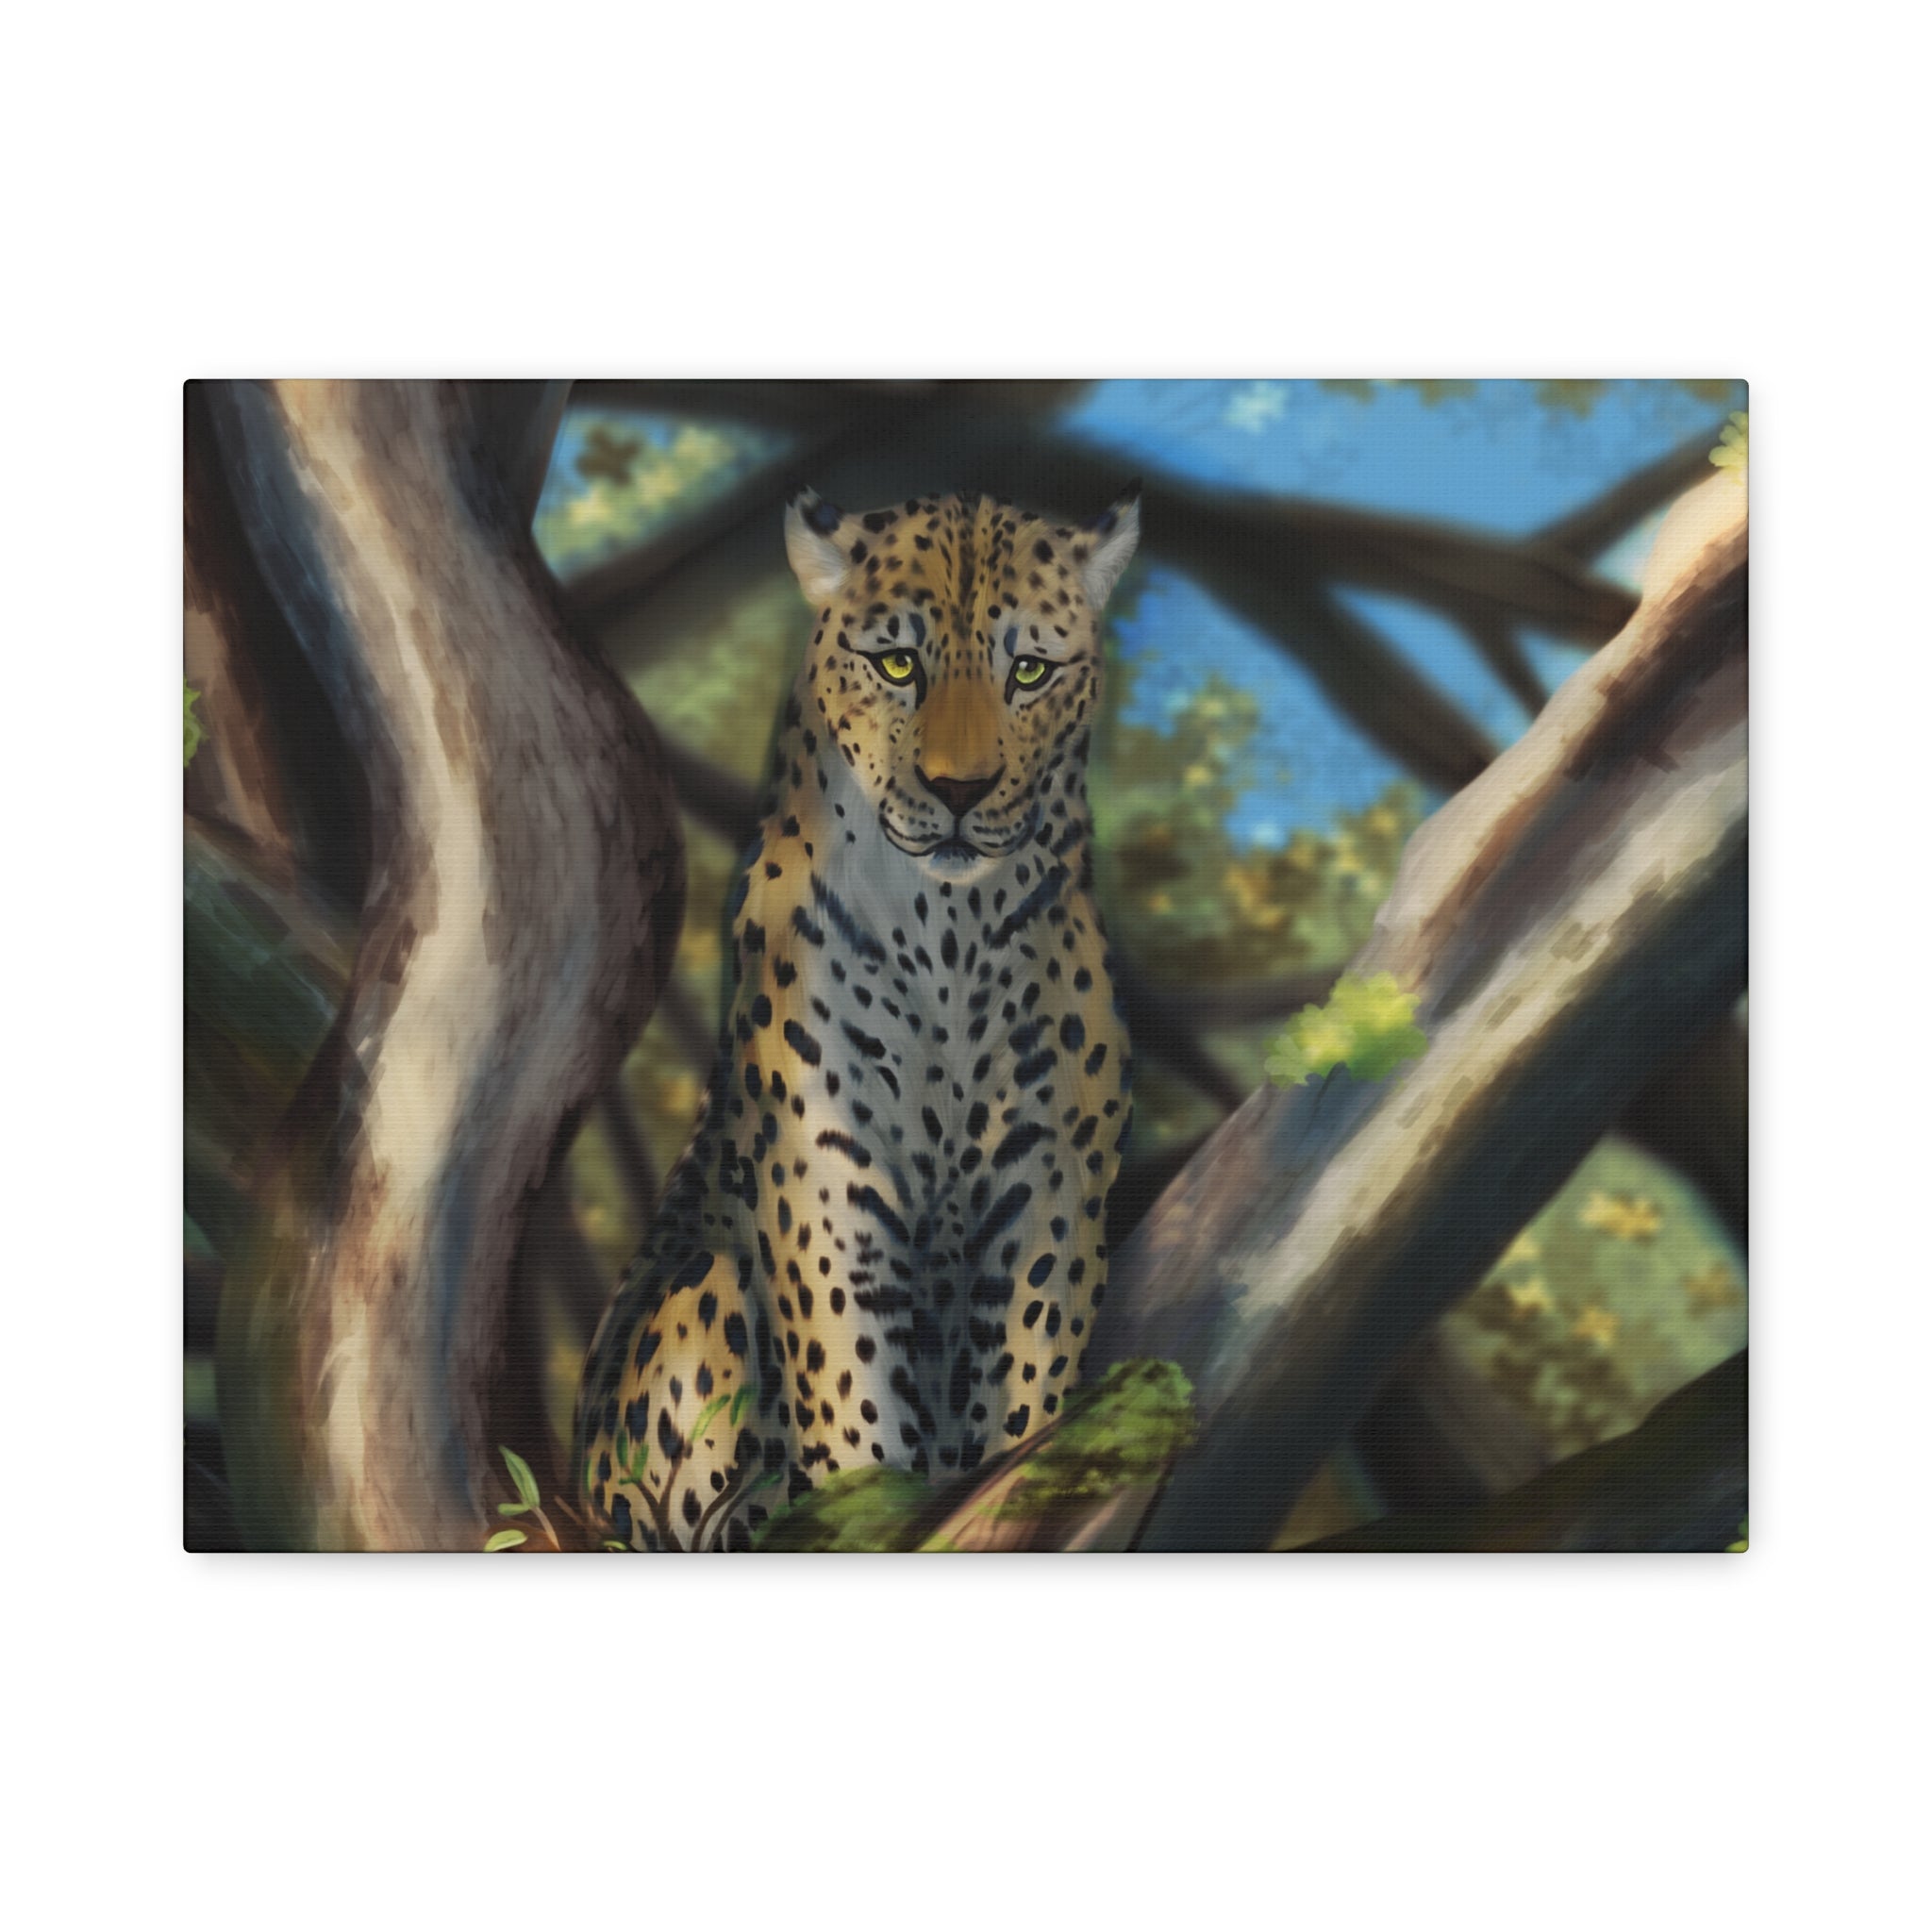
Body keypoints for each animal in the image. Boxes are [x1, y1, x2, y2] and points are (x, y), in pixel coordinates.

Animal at [574, 482, 1141, 1550]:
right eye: (896, 664)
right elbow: (855, 1404)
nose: (959, 791)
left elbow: (1026, 1387)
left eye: (1030, 671)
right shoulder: (828, 1181)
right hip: (699, 1302)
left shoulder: (1047, 1181)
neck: (950, 933)